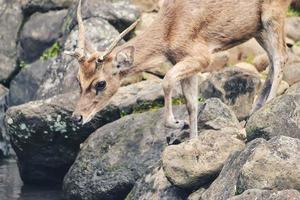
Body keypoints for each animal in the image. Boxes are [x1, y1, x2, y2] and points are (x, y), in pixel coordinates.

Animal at [65, 0, 290, 138]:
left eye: (101, 83)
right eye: (78, 79)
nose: (77, 117)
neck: (170, 31)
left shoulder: (202, 56)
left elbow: (166, 81)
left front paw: (177, 123)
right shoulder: (185, 60)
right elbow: (192, 104)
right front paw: (192, 140)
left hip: (272, 14)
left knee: (281, 57)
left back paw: (264, 109)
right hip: (257, 29)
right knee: (273, 60)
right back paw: (256, 107)